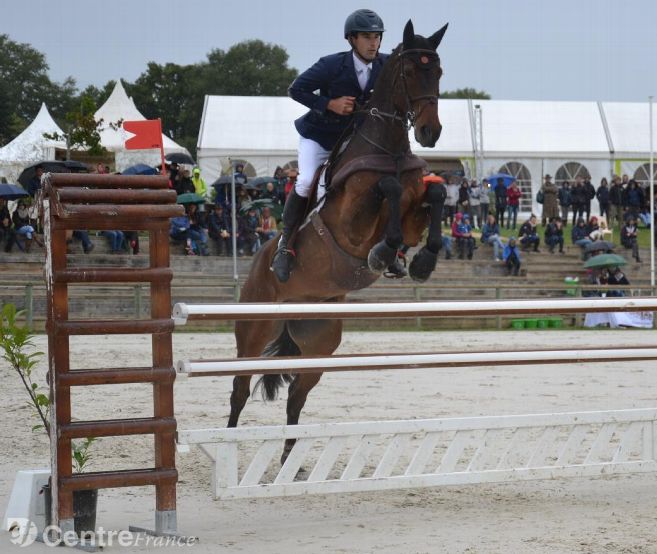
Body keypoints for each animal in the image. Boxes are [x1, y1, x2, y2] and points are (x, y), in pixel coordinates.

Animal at [228, 20, 448, 462]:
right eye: (411, 71)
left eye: (439, 72)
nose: (430, 132)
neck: (387, 147)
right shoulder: (351, 225)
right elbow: (387, 187)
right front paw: (385, 253)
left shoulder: (414, 212)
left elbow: (434, 193)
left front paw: (419, 261)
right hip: (254, 329)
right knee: (239, 391)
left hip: (320, 341)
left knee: (297, 394)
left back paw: (289, 462)